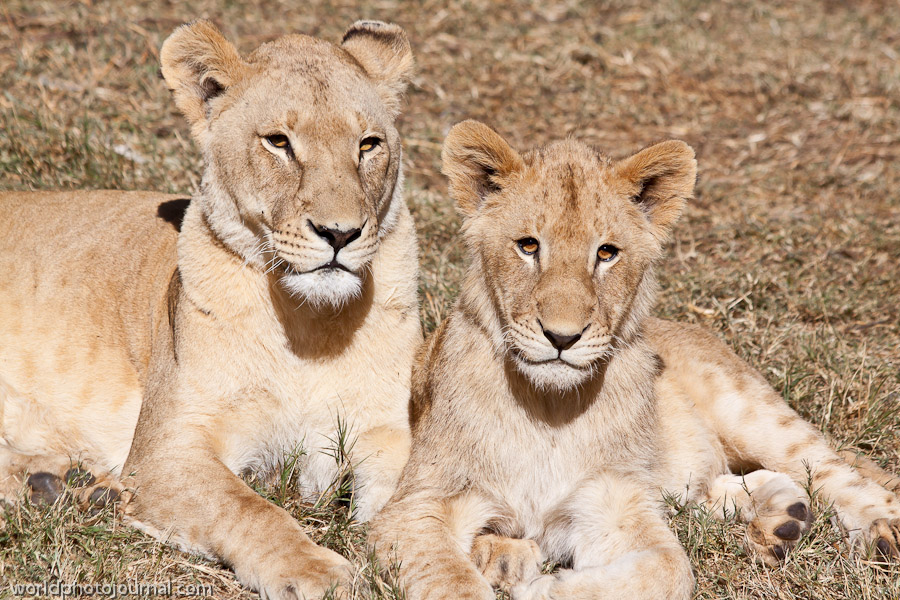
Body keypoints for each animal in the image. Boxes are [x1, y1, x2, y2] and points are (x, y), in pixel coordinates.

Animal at [0, 20, 421, 599]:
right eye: (279, 142)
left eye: (368, 144)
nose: (340, 234)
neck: (310, 327)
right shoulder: (164, 453)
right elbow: (248, 509)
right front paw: (316, 570)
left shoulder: (389, 434)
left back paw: (62, 485)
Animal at [369, 120, 900, 600]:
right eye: (527, 246)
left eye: (606, 253)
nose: (562, 337)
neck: (549, 411)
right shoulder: (415, 506)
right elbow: (451, 582)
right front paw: (508, 567)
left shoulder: (613, 502)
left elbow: (670, 569)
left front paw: (543, 588)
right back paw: (782, 521)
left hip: (753, 413)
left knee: (843, 474)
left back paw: (879, 534)